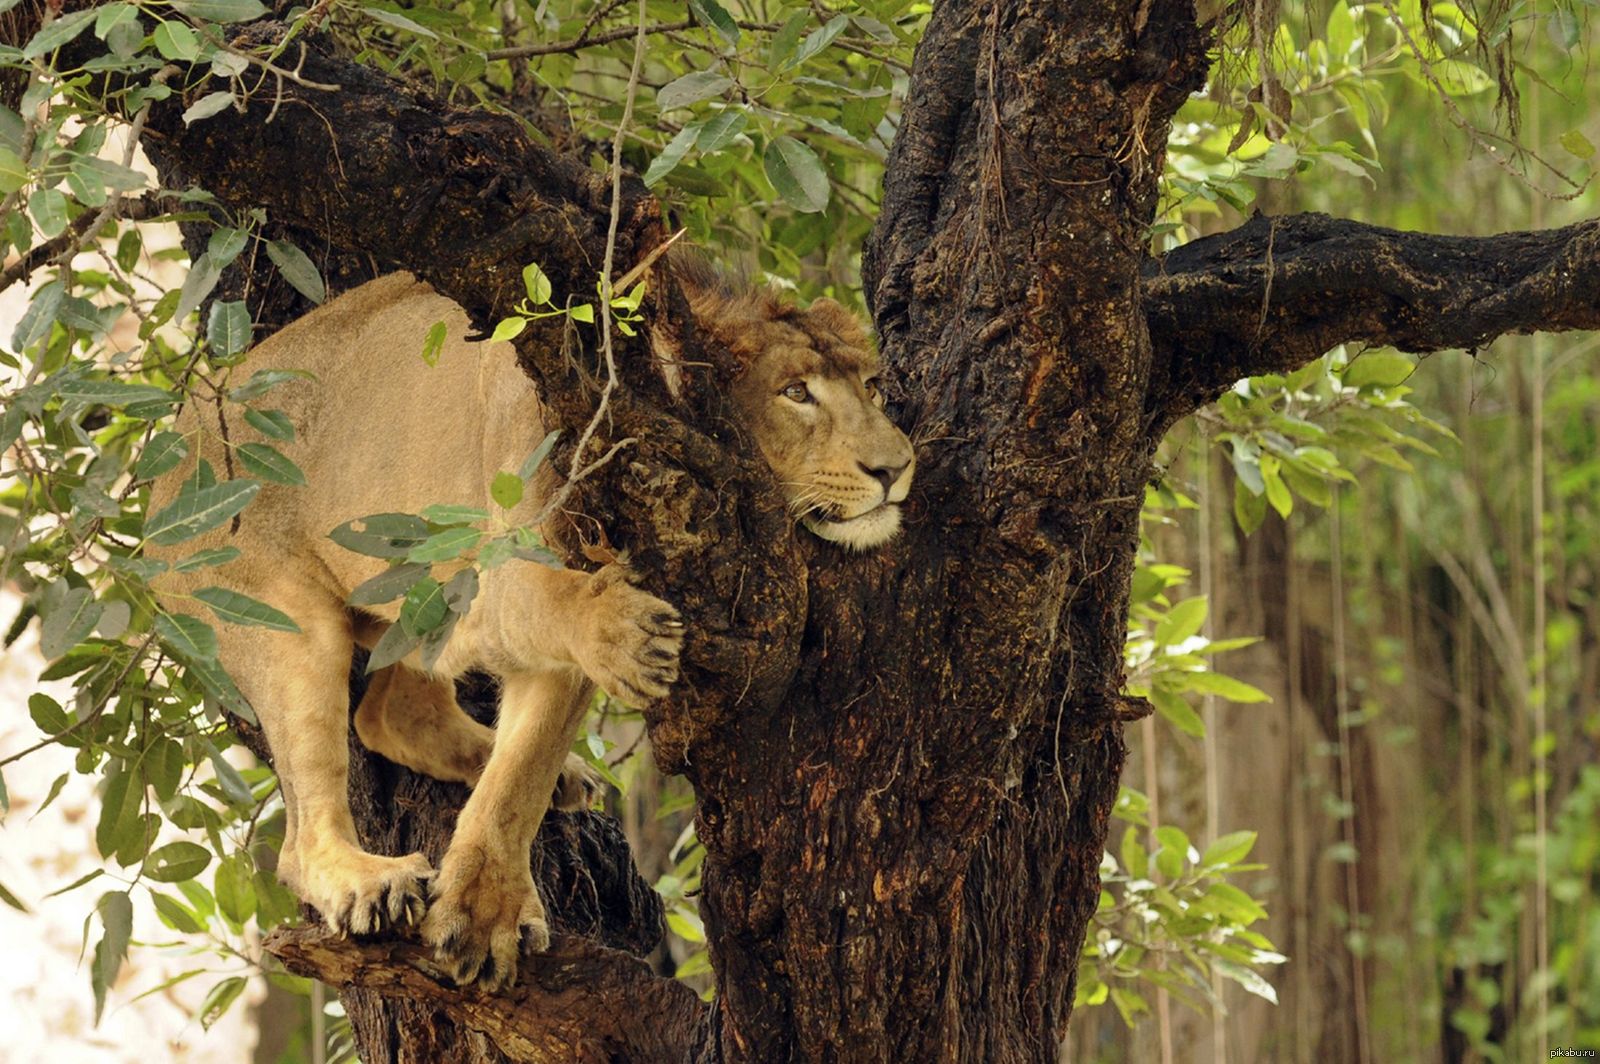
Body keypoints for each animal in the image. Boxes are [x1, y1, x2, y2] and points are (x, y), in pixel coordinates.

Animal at [156, 265, 921, 985]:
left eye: (874, 388)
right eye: (795, 393)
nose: (898, 468)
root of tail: (172, 444)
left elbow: (519, 778)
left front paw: (483, 911)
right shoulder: (498, 568)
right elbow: (560, 613)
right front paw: (625, 631)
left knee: (390, 713)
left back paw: (556, 782)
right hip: (280, 617)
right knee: (303, 830)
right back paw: (367, 880)